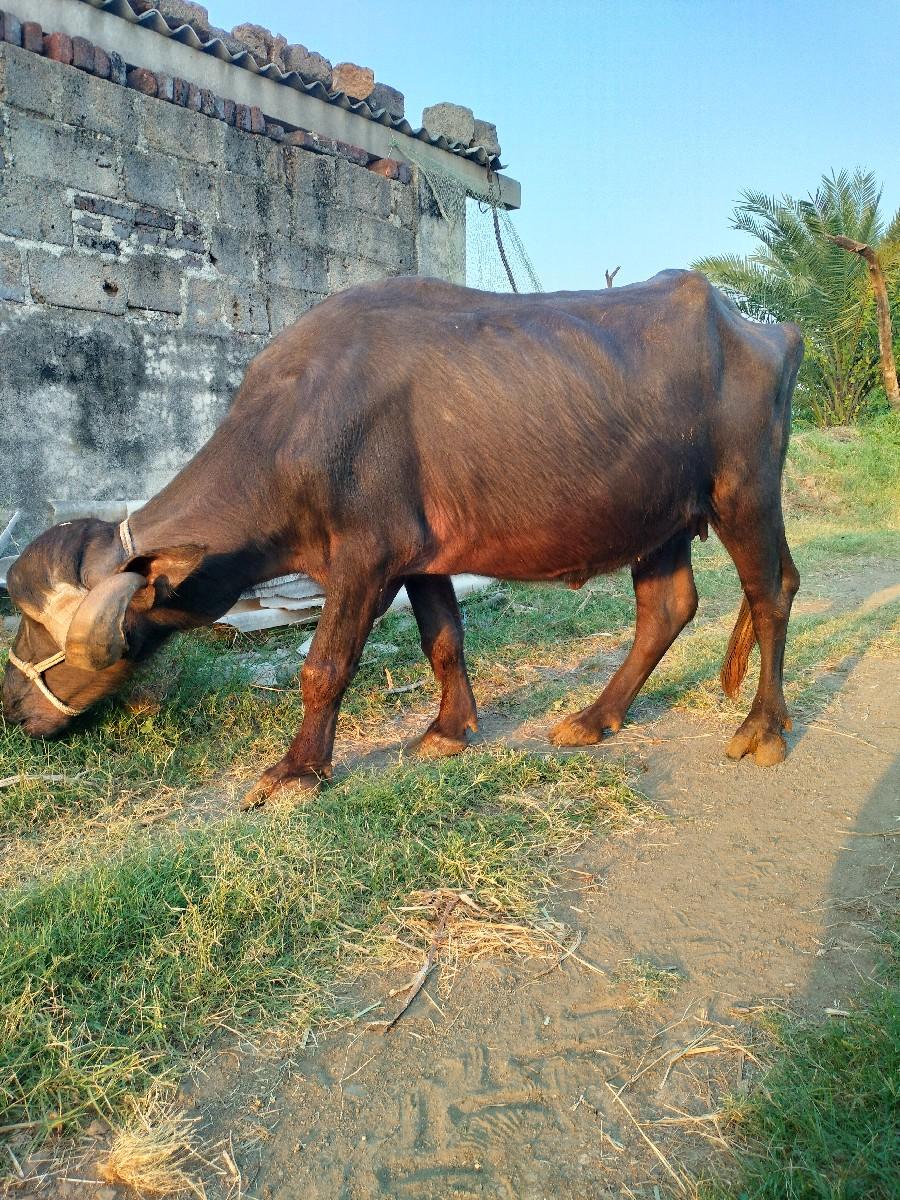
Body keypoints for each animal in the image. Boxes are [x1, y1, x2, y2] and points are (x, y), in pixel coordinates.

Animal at [3, 271, 803, 807]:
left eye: (40, 632)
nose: (12, 708)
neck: (295, 424)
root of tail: (767, 331)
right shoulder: (422, 560)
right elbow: (442, 639)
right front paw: (449, 730)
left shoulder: (364, 559)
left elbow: (325, 666)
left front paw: (296, 770)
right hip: (660, 518)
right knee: (669, 607)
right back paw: (593, 718)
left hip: (745, 494)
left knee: (770, 592)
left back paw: (763, 729)